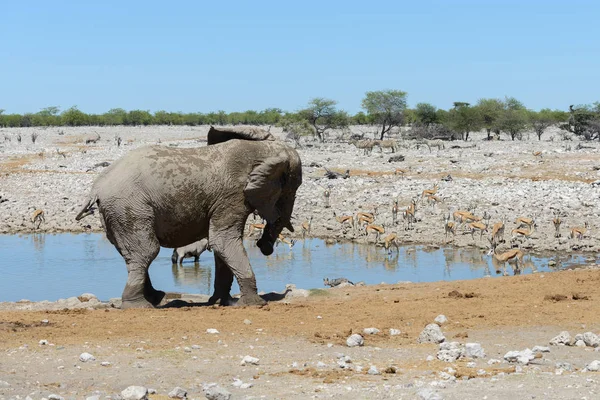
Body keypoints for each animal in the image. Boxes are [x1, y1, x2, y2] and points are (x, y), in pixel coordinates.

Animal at [75, 126, 302, 308]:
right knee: (147, 251)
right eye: (292, 189)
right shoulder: (232, 196)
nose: (264, 246)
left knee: (132, 254)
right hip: (129, 207)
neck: (264, 150)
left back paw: (155, 298)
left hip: (116, 212)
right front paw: (254, 304)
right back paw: (140, 306)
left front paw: (223, 303)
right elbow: (223, 240)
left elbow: (220, 246)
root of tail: (96, 187)